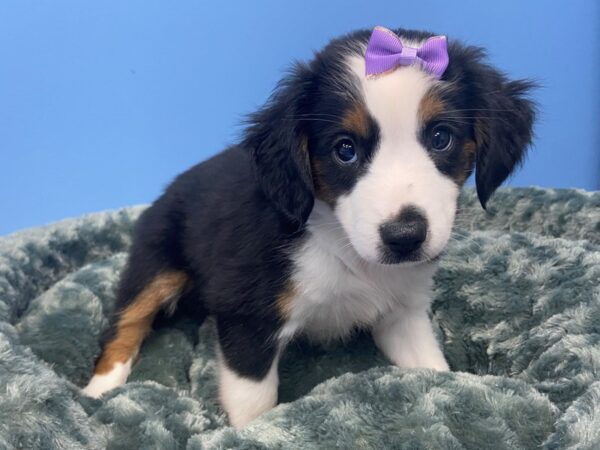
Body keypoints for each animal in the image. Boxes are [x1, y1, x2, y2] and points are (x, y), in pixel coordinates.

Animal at [81, 26, 536, 428]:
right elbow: (254, 404)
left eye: (442, 137)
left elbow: (434, 370)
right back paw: (98, 391)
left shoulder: (403, 313)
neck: (341, 243)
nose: (405, 238)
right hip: (155, 261)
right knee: (124, 326)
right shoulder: (248, 318)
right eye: (345, 150)